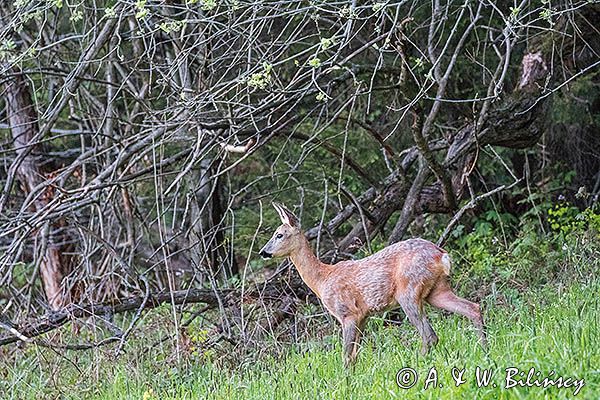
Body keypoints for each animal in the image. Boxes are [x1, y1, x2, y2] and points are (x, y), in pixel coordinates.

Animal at [258, 203, 488, 366]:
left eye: (279, 234)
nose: (263, 252)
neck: (322, 279)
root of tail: (442, 256)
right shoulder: (363, 316)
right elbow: (354, 355)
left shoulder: (348, 313)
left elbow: (345, 356)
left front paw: (344, 384)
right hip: (437, 290)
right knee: (473, 308)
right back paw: (484, 350)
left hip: (408, 290)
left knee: (429, 335)